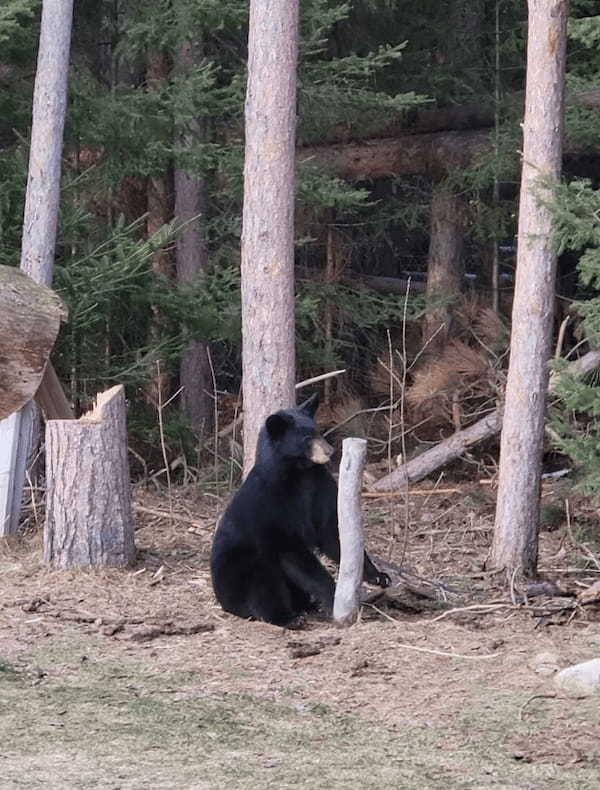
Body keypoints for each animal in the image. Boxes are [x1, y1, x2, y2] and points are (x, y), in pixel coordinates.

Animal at [210, 396, 390, 632]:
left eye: (319, 431)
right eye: (306, 437)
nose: (331, 451)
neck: (298, 471)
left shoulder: (320, 485)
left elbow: (331, 533)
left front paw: (378, 576)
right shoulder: (274, 503)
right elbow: (292, 548)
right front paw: (332, 595)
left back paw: (306, 605)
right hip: (239, 565)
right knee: (262, 584)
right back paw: (289, 617)